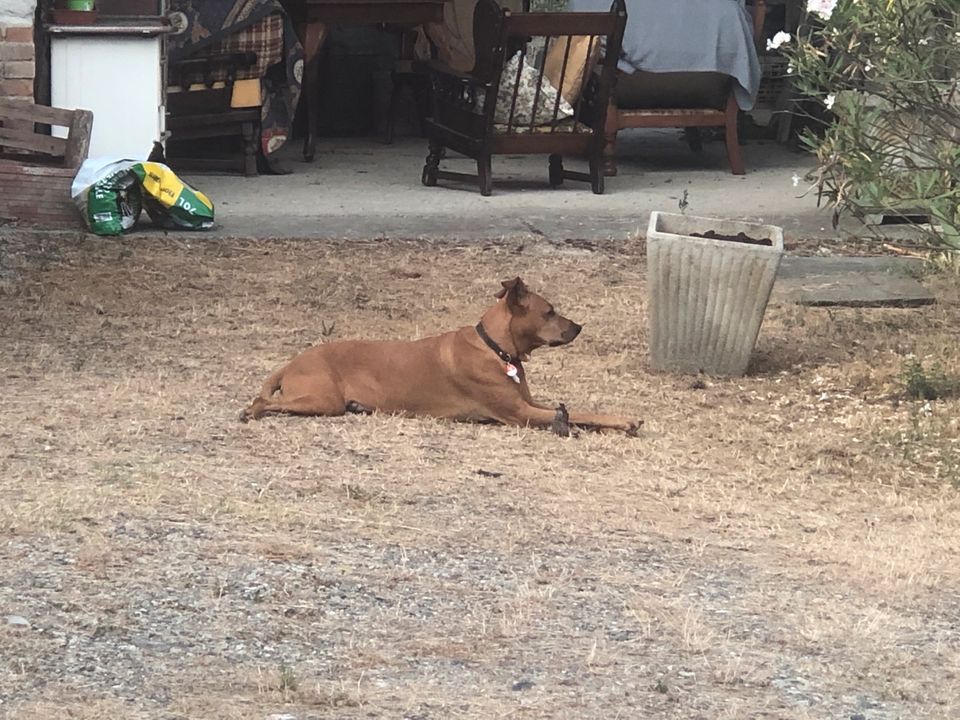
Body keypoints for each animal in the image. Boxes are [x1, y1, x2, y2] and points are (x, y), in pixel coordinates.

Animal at [244, 278, 640, 434]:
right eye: (549, 311)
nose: (579, 327)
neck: (495, 348)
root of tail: (290, 363)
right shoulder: (519, 413)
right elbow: (575, 417)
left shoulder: (530, 402)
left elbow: (581, 412)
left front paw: (621, 420)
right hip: (323, 400)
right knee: (261, 403)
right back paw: (251, 412)